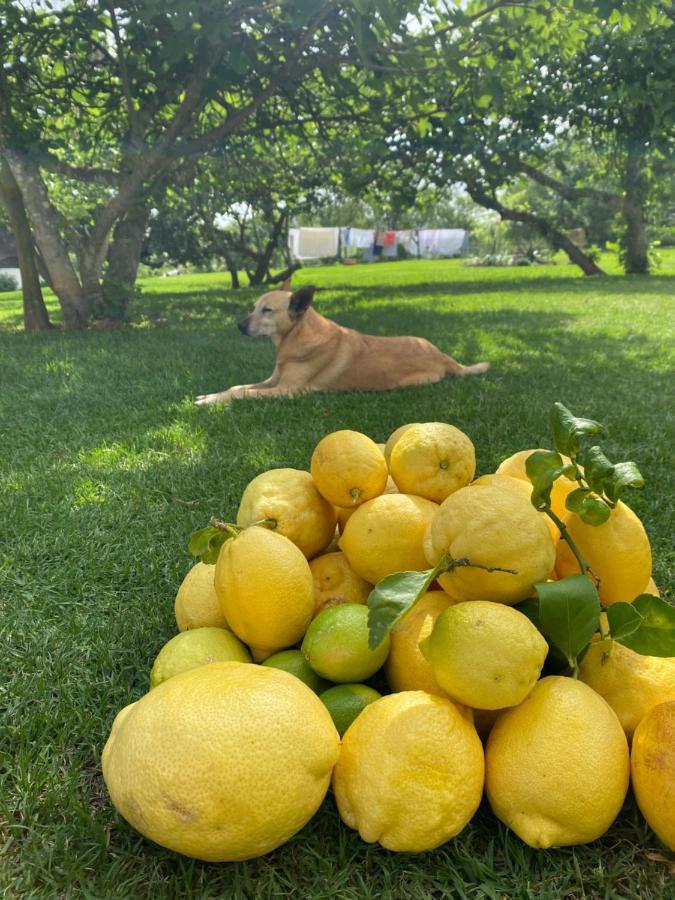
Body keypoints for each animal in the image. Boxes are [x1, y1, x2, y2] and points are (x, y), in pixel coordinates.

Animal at [197, 284, 492, 406]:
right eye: (253, 307)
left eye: (267, 310)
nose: (238, 325)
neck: (295, 336)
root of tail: (444, 357)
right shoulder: (274, 381)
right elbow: (237, 387)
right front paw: (209, 396)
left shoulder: (287, 390)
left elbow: (242, 393)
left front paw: (211, 402)